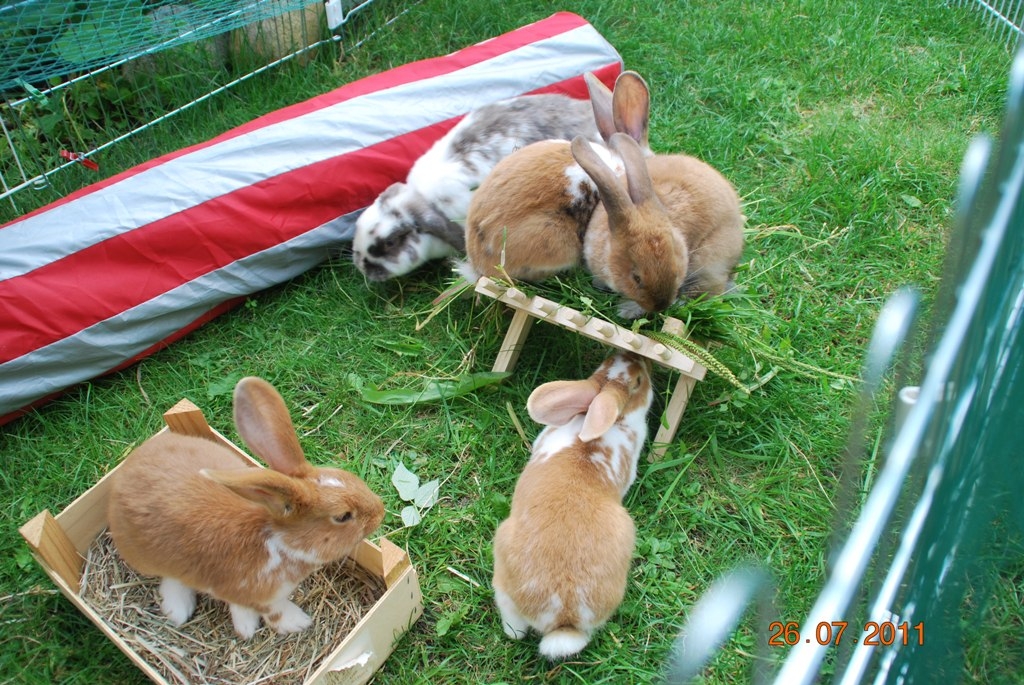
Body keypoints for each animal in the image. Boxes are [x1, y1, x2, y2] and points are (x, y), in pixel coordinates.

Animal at [107, 376, 385, 638]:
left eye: (349, 476)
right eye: (343, 516)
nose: (380, 512)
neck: (276, 542)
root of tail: (125, 471)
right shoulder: (253, 594)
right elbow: (272, 611)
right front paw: (294, 623)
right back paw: (177, 609)